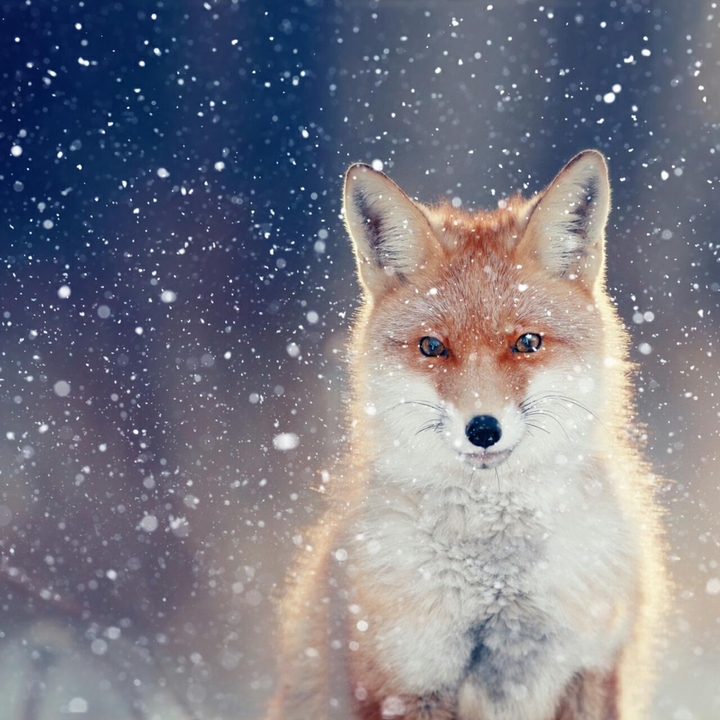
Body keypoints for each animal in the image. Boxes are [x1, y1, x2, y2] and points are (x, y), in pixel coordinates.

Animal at [267, 150, 667, 720]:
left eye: (527, 342)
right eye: (432, 347)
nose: (482, 430)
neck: (497, 578)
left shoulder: (591, 665)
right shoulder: (406, 679)